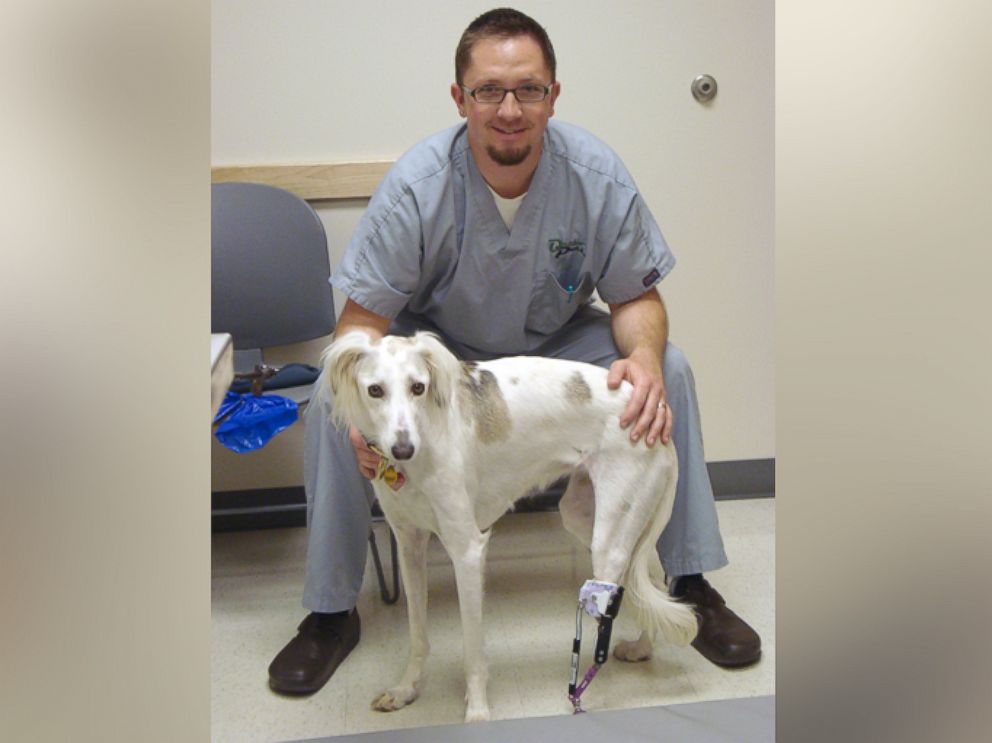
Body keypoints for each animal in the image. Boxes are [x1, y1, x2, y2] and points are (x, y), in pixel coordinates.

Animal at [326, 332, 696, 720]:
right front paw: (405, 689)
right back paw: (641, 648)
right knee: (649, 584)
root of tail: (659, 417)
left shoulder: (468, 550)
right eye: (375, 390)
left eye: (418, 387)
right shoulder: (410, 546)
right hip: (585, 517)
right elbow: (417, 635)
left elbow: (473, 649)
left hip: (609, 541)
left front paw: (477, 712)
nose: (403, 449)